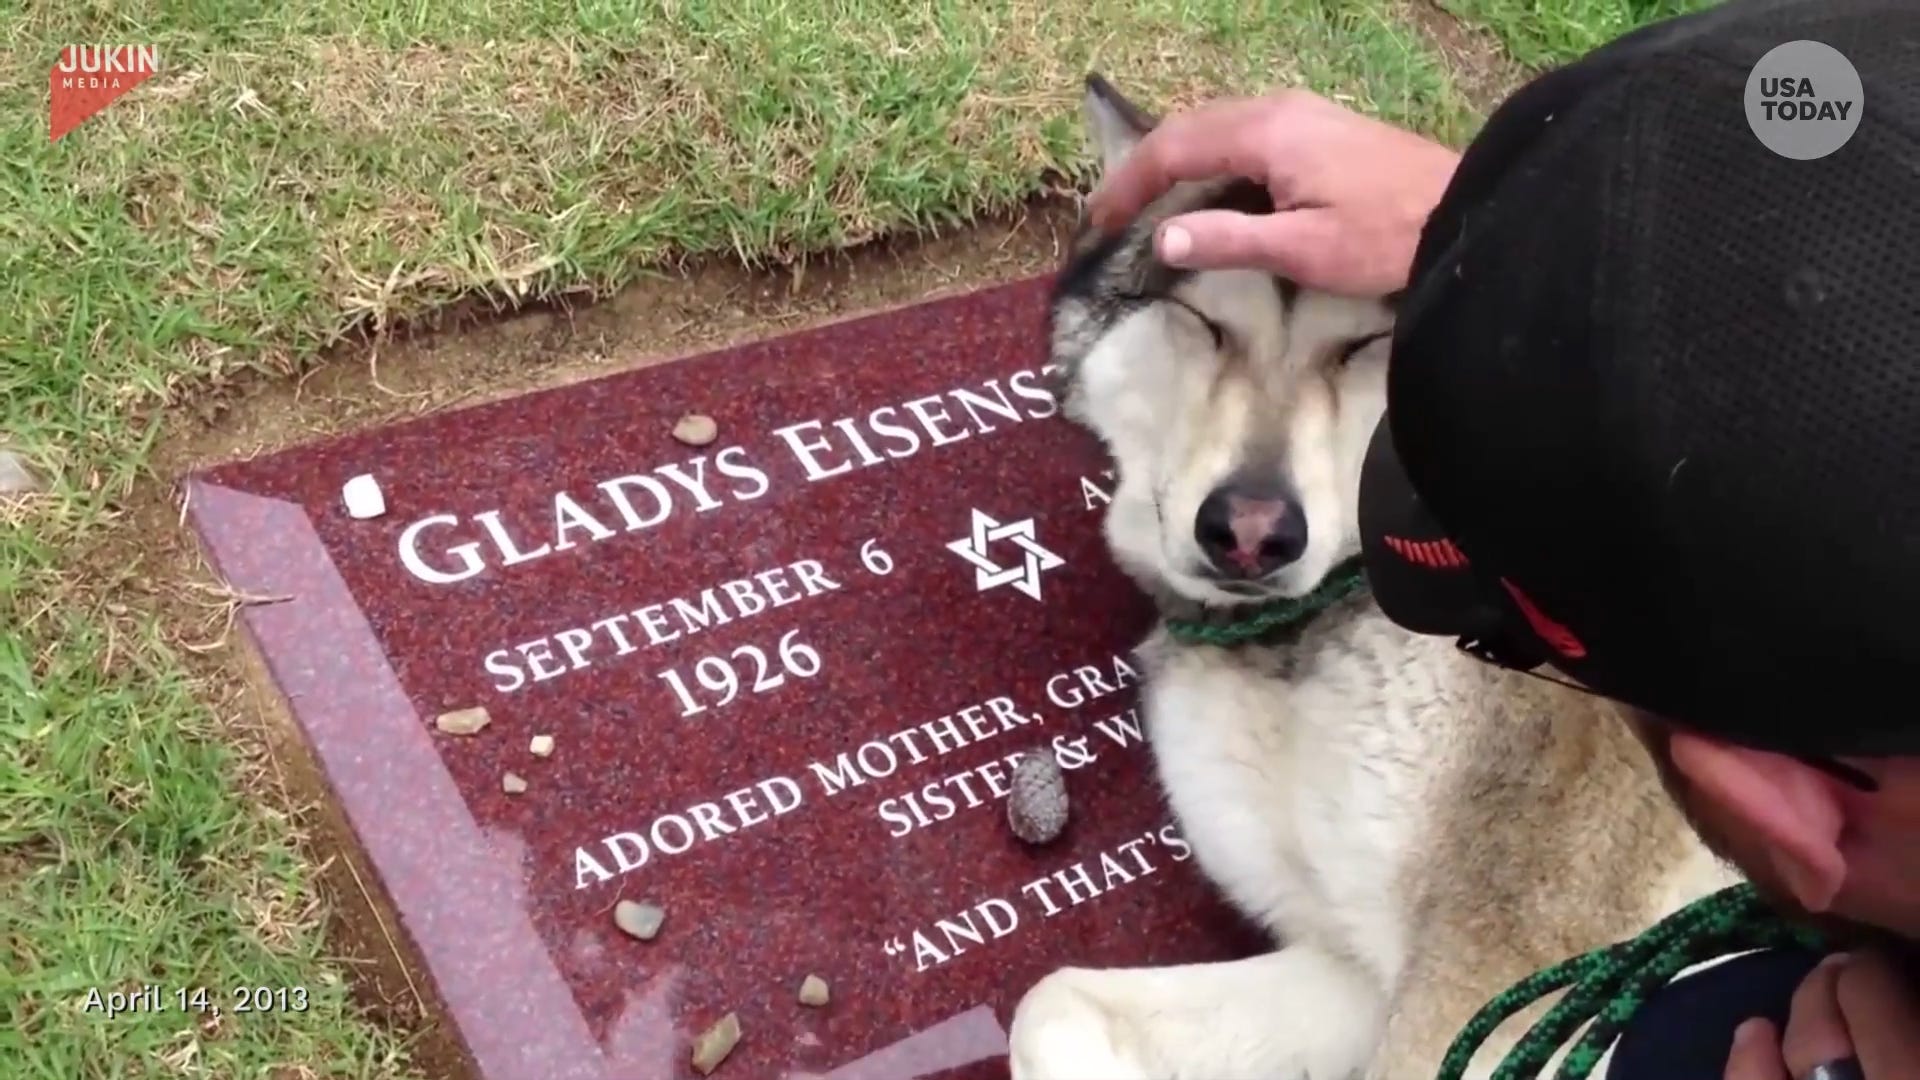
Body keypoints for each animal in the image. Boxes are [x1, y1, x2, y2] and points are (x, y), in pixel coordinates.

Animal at [1006, 77, 1743, 1076]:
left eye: (1362, 346)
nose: (1251, 535)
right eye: (1204, 322)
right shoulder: (1351, 968)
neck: (1333, 616)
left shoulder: (1490, 978)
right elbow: (1048, 1000)